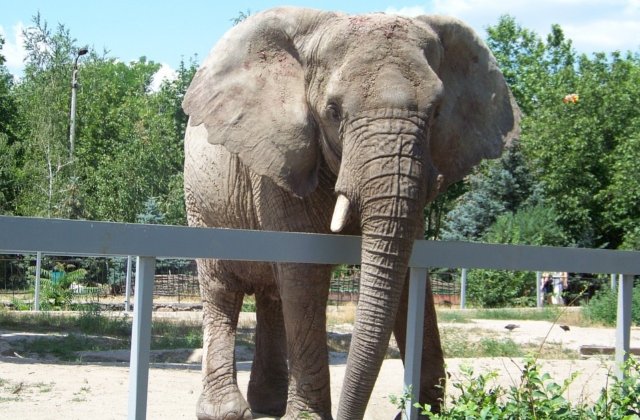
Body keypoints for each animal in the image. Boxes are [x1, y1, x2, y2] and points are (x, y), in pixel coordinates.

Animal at [182, 7, 519, 420]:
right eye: (332, 111)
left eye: (438, 111)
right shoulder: (280, 163)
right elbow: (305, 272)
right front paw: (307, 418)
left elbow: (404, 272)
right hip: (201, 201)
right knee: (222, 288)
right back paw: (228, 411)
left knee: (272, 294)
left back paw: (269, 404)